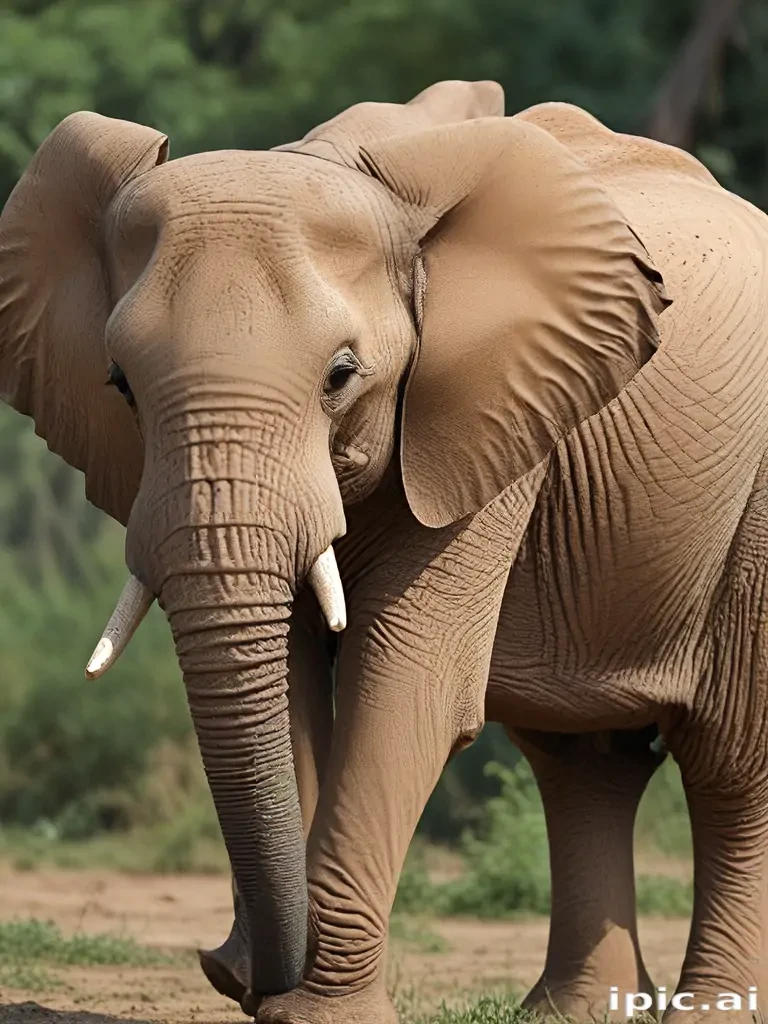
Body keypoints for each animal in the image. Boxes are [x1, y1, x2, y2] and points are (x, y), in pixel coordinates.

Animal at [2, 76, 768, 1024]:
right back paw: (568, 1012)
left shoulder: (488, 404)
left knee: (730, 764)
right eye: (119, 387)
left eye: (341, 375)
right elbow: (292, 675)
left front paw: (313, 1013)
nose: (224, 967)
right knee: (582, 763)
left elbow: (406, 682)